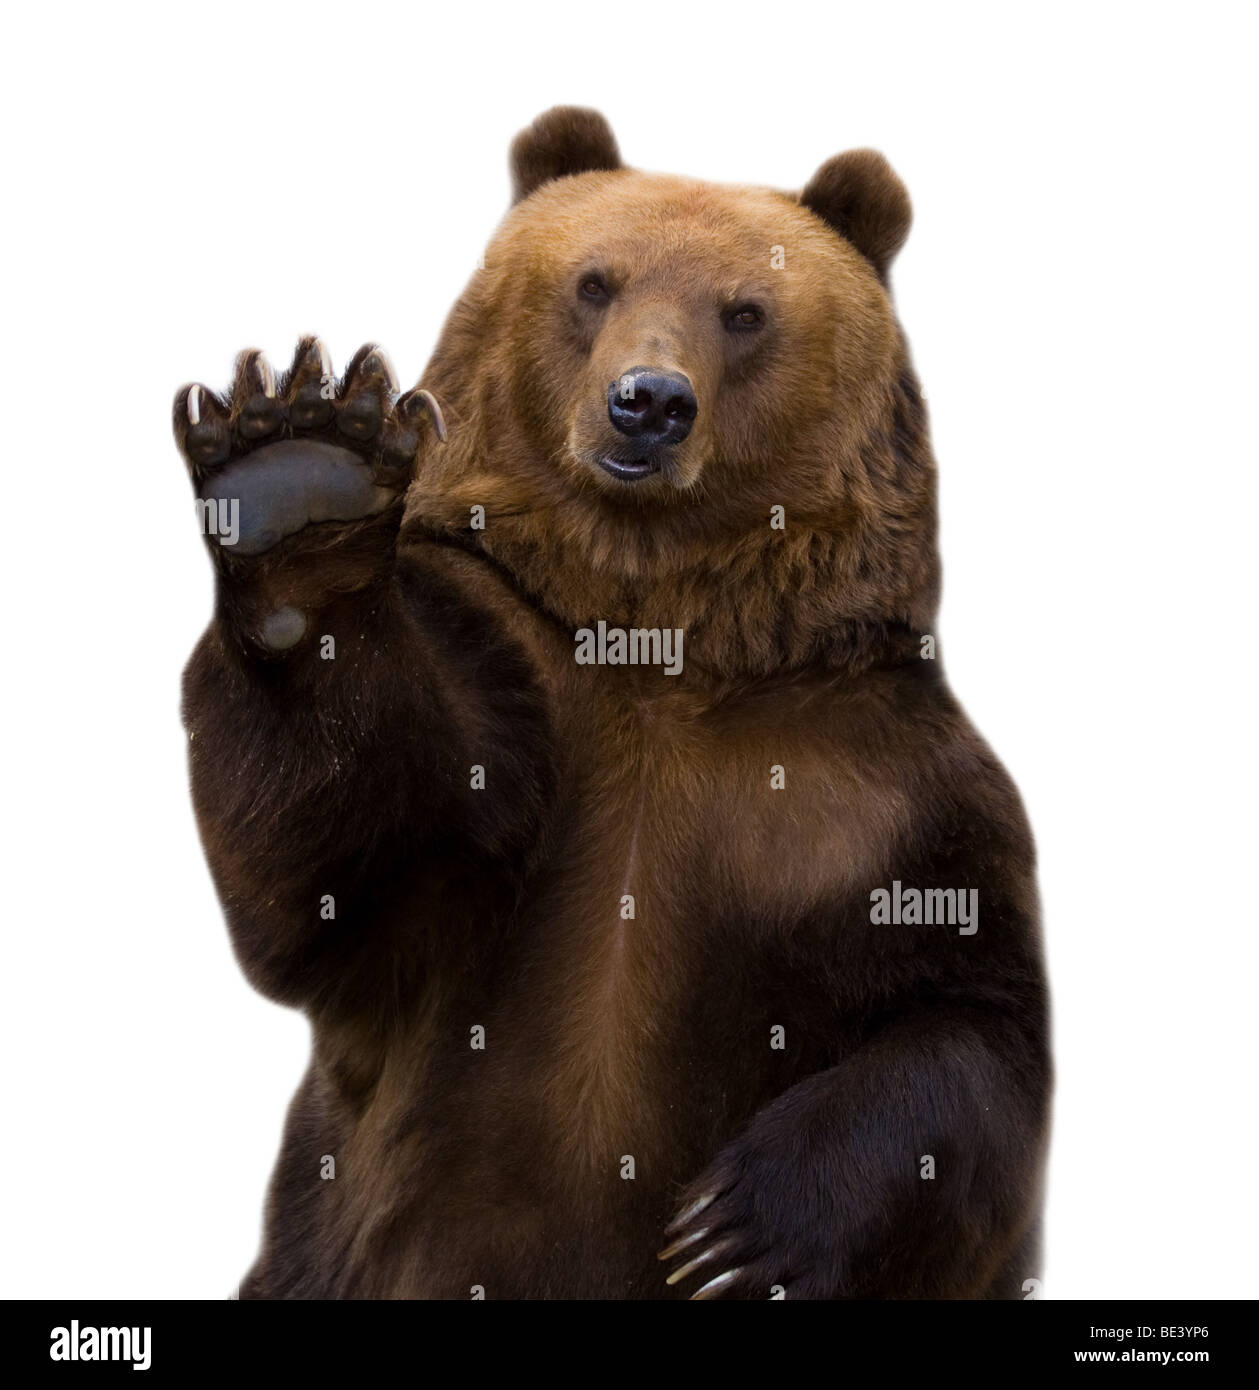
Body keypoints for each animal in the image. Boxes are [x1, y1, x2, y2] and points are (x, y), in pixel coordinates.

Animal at [171, 102, 1044, 1295]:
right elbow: (337, 873)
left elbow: (967, 1015)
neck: (657, 629)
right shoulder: (500, 684)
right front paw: (296, 472)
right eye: (595, 281)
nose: (650, 404)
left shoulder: (877, 780)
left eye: (745, 310)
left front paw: (731, 1234)